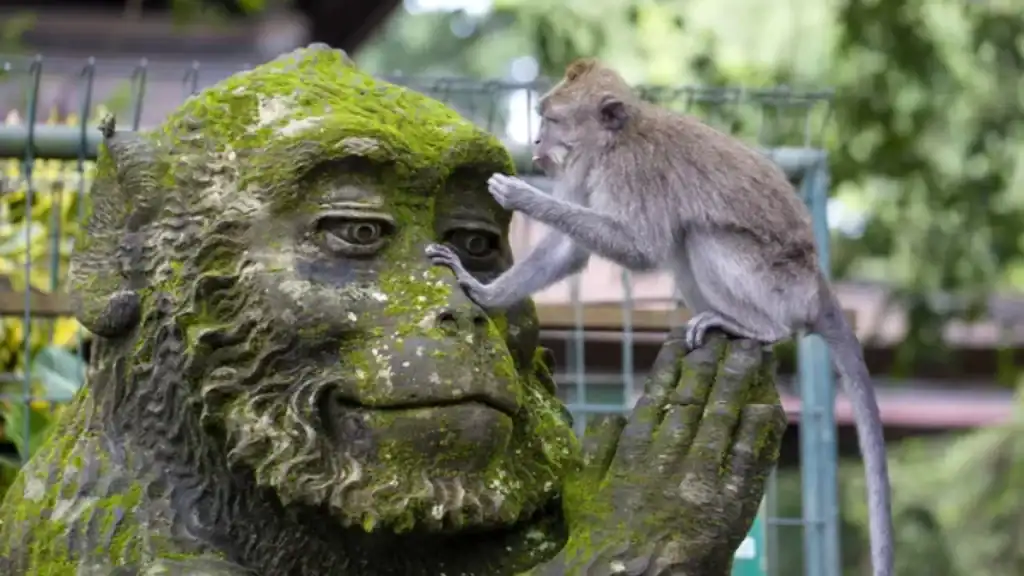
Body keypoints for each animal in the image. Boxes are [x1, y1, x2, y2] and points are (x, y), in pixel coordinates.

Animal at [425, 58, 894, 576]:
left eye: (552, 119)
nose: (537, 142)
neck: (614, 142)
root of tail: (817, 284)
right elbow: (572, 251)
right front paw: (483, 292)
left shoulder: (630, 173)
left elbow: (641, 248)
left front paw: (524, 197)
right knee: (683, 243)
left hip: (778, 286)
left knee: (699, 238)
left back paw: (757, 327)